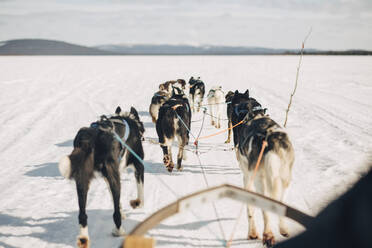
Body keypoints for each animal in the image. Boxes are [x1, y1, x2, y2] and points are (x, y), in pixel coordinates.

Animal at [58, 106, 145, 248]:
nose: (143, 135)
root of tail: (90, 138)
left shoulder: (107, 177)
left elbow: (116, 201)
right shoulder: (138, 164)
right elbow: (140, 195)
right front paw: (136, 204)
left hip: (82, 180)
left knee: (82, 215)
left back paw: (83, 238)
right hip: (113, 176)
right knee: (115, 214)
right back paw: (119, 231)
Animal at [231, 90, 294, 247]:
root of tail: (270, 140)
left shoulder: (247, 177)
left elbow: (250, 210)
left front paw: (252, 233)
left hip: (260, 181)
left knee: (266, 211)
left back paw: (268, 235)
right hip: (284, 180)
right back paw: (283, 229)